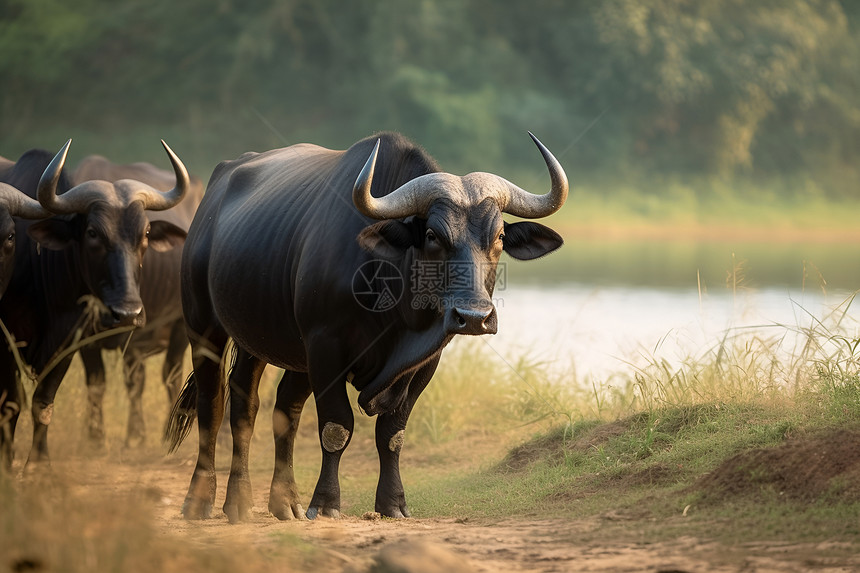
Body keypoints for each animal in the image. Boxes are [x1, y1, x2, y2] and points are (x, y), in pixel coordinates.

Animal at [0, 140, 190, 470]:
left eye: (145, 234)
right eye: (92, 233)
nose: (127, 313)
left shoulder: (73, 338)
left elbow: (44, 401)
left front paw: (38, 463)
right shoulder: (13, 341)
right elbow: (16, 402)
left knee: (170, 376)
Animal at [71, 155, 205, 446]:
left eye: (145, 233)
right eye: (92, 233)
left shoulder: (138, 334)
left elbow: (135, 381)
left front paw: (136, 434)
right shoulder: (84, 335)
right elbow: (96, 382)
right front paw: (95, 436)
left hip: (180, 326)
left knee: (171, 374)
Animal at [166, 132, 572, 520]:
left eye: (499, 236)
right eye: (432, 236)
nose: (474, 317)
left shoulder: (423, 363)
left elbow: (392, 434)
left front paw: (392, 503)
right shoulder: (325, 347)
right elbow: (336, 427)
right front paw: (326, 503)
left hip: (268, 343)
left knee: (273, 409)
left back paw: (281, 503)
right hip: (204, 328)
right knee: (217, 404)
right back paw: (210, 501)